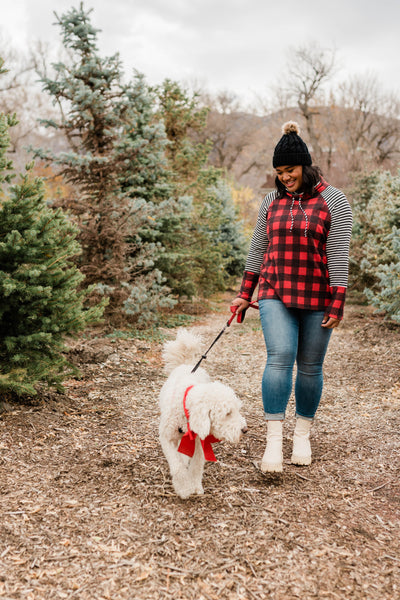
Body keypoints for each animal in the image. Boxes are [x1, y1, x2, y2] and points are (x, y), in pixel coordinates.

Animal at [159, 328, 247, 496]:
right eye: (227, 413)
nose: (244, 430)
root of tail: (187, 364)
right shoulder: (166, 437)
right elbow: (177, 466)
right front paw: (184, 488)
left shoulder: (199, 441)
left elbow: (197, 465)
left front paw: (194, 485)